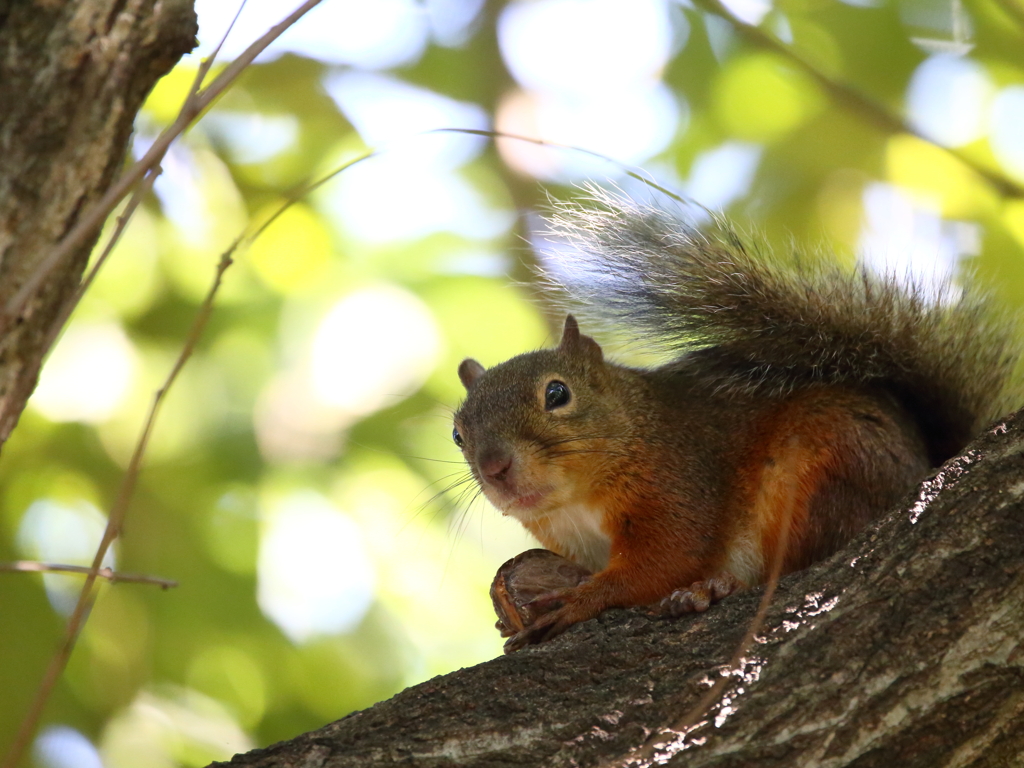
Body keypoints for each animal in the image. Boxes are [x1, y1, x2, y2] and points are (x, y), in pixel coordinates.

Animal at [452, 189, 1019, 651]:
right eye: (458, 434)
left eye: (557, 393)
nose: (495, 467)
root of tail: (927, 460)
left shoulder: (680, 478)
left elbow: (666, 560)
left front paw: (581, 600)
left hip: (827, 463)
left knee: (802, 563)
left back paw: (713, 589)